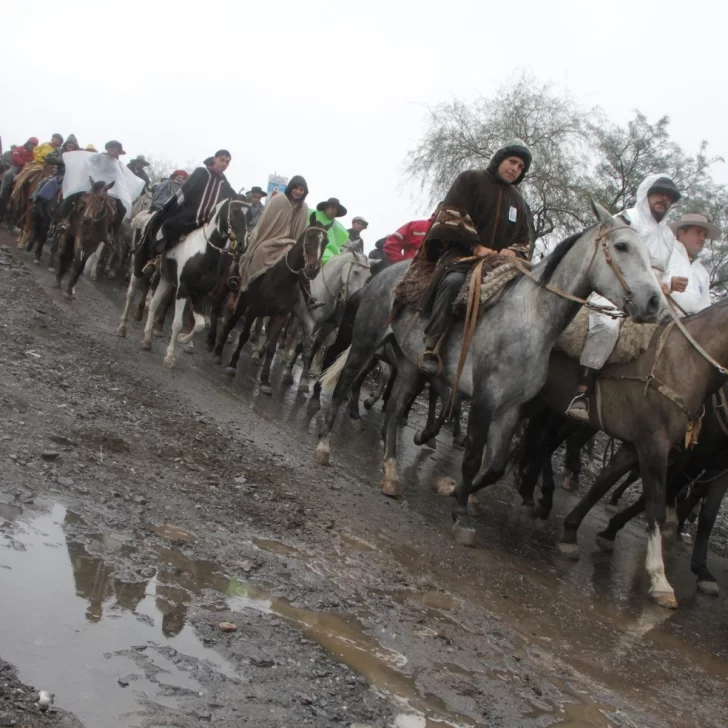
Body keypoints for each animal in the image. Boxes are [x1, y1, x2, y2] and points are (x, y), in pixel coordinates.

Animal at [316, 203, 664, 536]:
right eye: (621, 246)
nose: (654, 303)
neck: (529, 320)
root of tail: (382, 277)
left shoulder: (511, 408)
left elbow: (494, 467)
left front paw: (451, 489)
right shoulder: (485, 397)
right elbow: (472, 457)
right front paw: (460, 515)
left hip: (409, 365)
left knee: (392, 411)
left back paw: (390, 474)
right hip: (365, 343)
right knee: (344, 385)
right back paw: (324, 445)